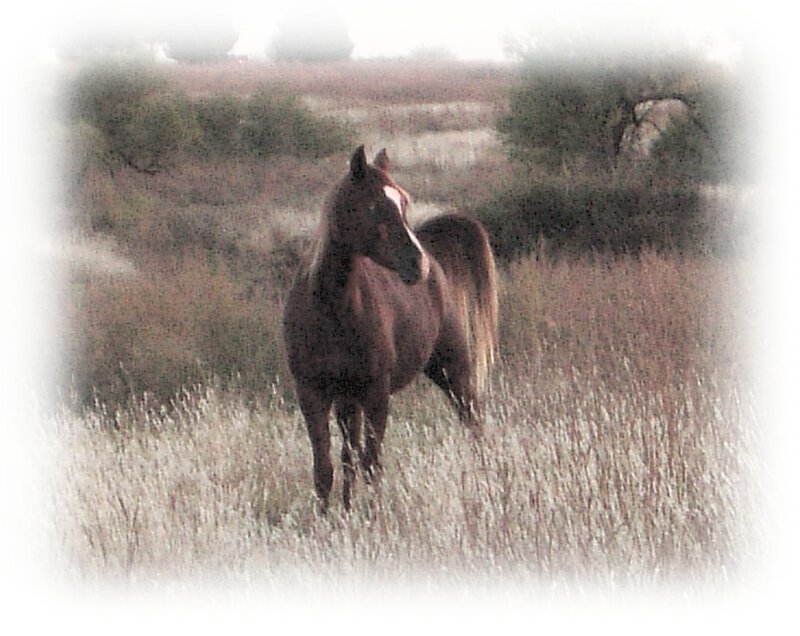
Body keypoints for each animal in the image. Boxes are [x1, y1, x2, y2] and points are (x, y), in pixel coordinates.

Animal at [283, 145, 498, 512]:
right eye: (373, 205)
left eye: (404, 201)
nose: (417, 263)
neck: (331, 310)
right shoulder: (313, 392)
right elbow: (325, 468)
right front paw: (328, 518)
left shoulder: (376, 393)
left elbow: (371, 464)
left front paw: (373, 517)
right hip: (347, 400)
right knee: (347, 456)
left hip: (450, 368)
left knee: (473, 421)